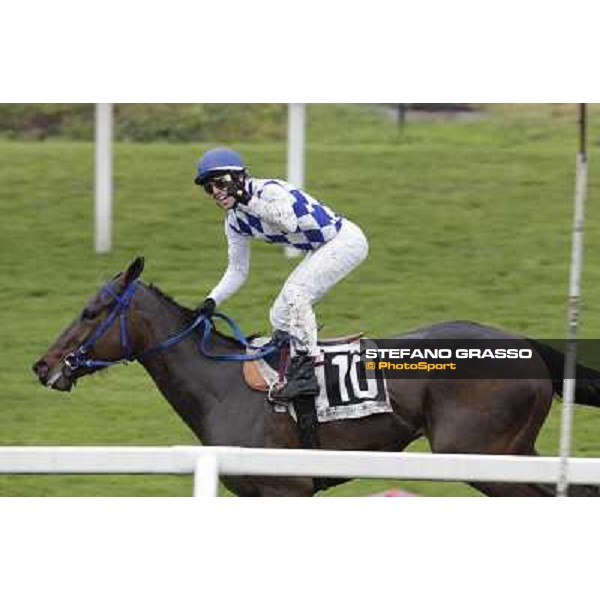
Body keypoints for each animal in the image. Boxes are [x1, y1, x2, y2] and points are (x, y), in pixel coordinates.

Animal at [31, 258, 600, 496]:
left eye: (91, 311)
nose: (43, 365)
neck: (223, 389)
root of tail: (529, 346)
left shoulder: (284, 487)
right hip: (514, 450)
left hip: (481, 455)